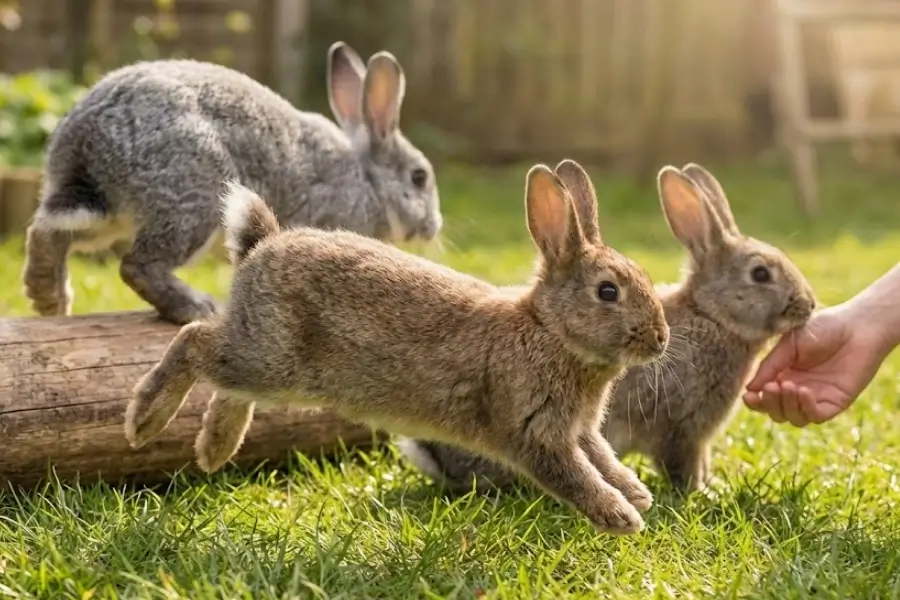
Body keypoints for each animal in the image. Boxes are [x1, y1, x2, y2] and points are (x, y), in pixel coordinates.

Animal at [22, 42, 442, 325]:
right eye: (419, 177)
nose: (434, 226)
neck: (369, 182)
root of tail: (87, 143)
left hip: (104, 216)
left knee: (47, 233)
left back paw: (50, 301)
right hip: (196, 198)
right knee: (137, 266)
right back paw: (197, 307)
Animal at [124, 159, 671, 535]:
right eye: (608, 292)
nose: (660, 339)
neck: (549, 330)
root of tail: (262, 245)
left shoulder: (581, 431)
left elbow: (603, 459)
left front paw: (637, 494)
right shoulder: (536, 433)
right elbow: (575, 475)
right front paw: (622, 517)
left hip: (266, 361)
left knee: (227, 382)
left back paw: (214, 449)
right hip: (274, 361)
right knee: (194, 340)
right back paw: (144, 421)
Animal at [397, 163, 816, 495]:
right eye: (760, 274)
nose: (809, 306)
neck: (712, 316)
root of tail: (433, 455)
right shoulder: (681, 429)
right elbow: (681, 464)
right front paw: (703, 492)